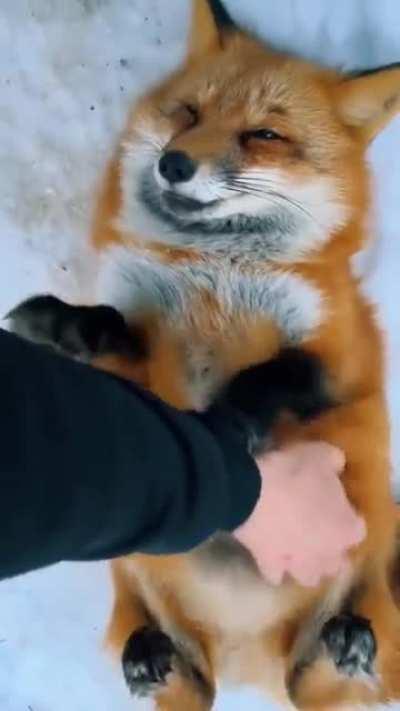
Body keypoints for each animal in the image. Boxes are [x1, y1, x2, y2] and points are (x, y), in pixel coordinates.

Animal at [8, 0, 400, 708]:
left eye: (264, 135)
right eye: (188, 113)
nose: (175, 164)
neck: (214, 272)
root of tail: (251, 666)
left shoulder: (339, 355)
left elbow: (276, 374)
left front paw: (233, 419)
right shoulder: (139, 366)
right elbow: (115, 326)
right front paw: (63, 325)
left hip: (364, 580)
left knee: (347, 650)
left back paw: (352, 637)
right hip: (143, 588)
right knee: (174, 654)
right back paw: (149, 655)